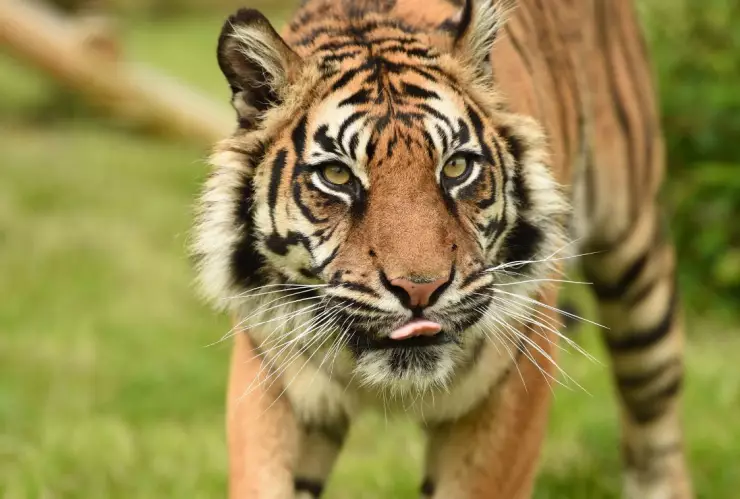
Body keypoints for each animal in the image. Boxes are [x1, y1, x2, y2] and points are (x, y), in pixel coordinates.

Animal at [192, 0, 692, 497]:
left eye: (455, 167)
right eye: (337, 176)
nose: (420, 290)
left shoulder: (511, 387)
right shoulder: (272, 381)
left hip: (635, 264)